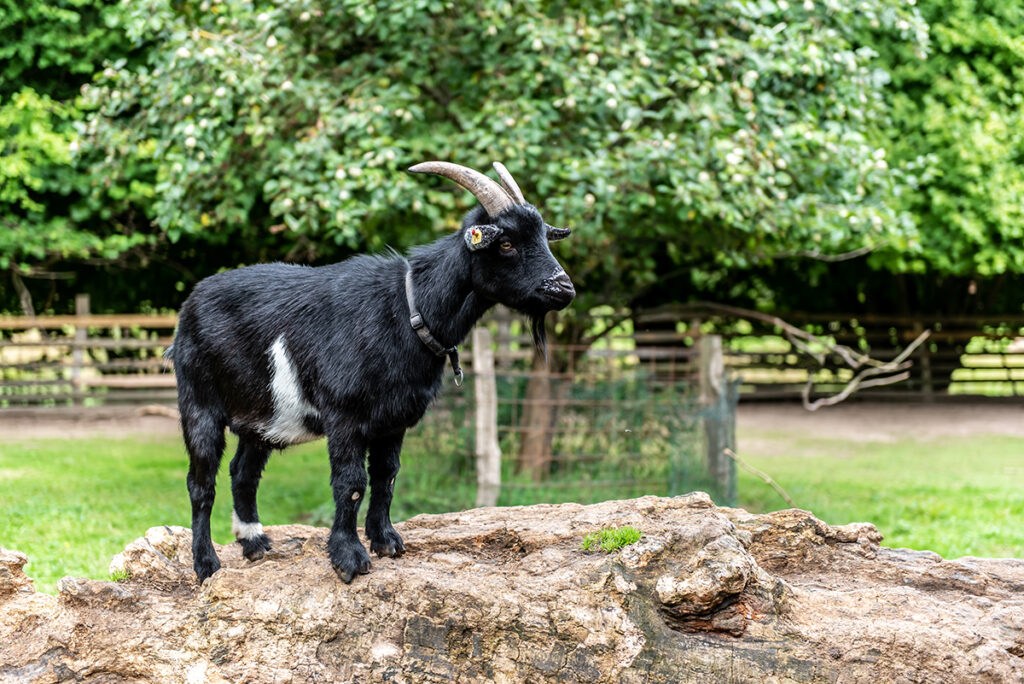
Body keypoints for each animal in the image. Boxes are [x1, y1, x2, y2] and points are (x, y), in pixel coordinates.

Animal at [168, 161, 575, 583]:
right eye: (506, 243)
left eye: (543, 237)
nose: (563, 288)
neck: (409, 308)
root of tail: (189, 305)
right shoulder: (344, 415)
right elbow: (351, 483)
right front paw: (349, 558)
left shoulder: (395, 419)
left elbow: (386, 476)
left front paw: (387, 541)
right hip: (198, 403)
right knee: (201, 483)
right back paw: (206, 564)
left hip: (261, 417)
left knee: (243, 472)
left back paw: (254, 542)